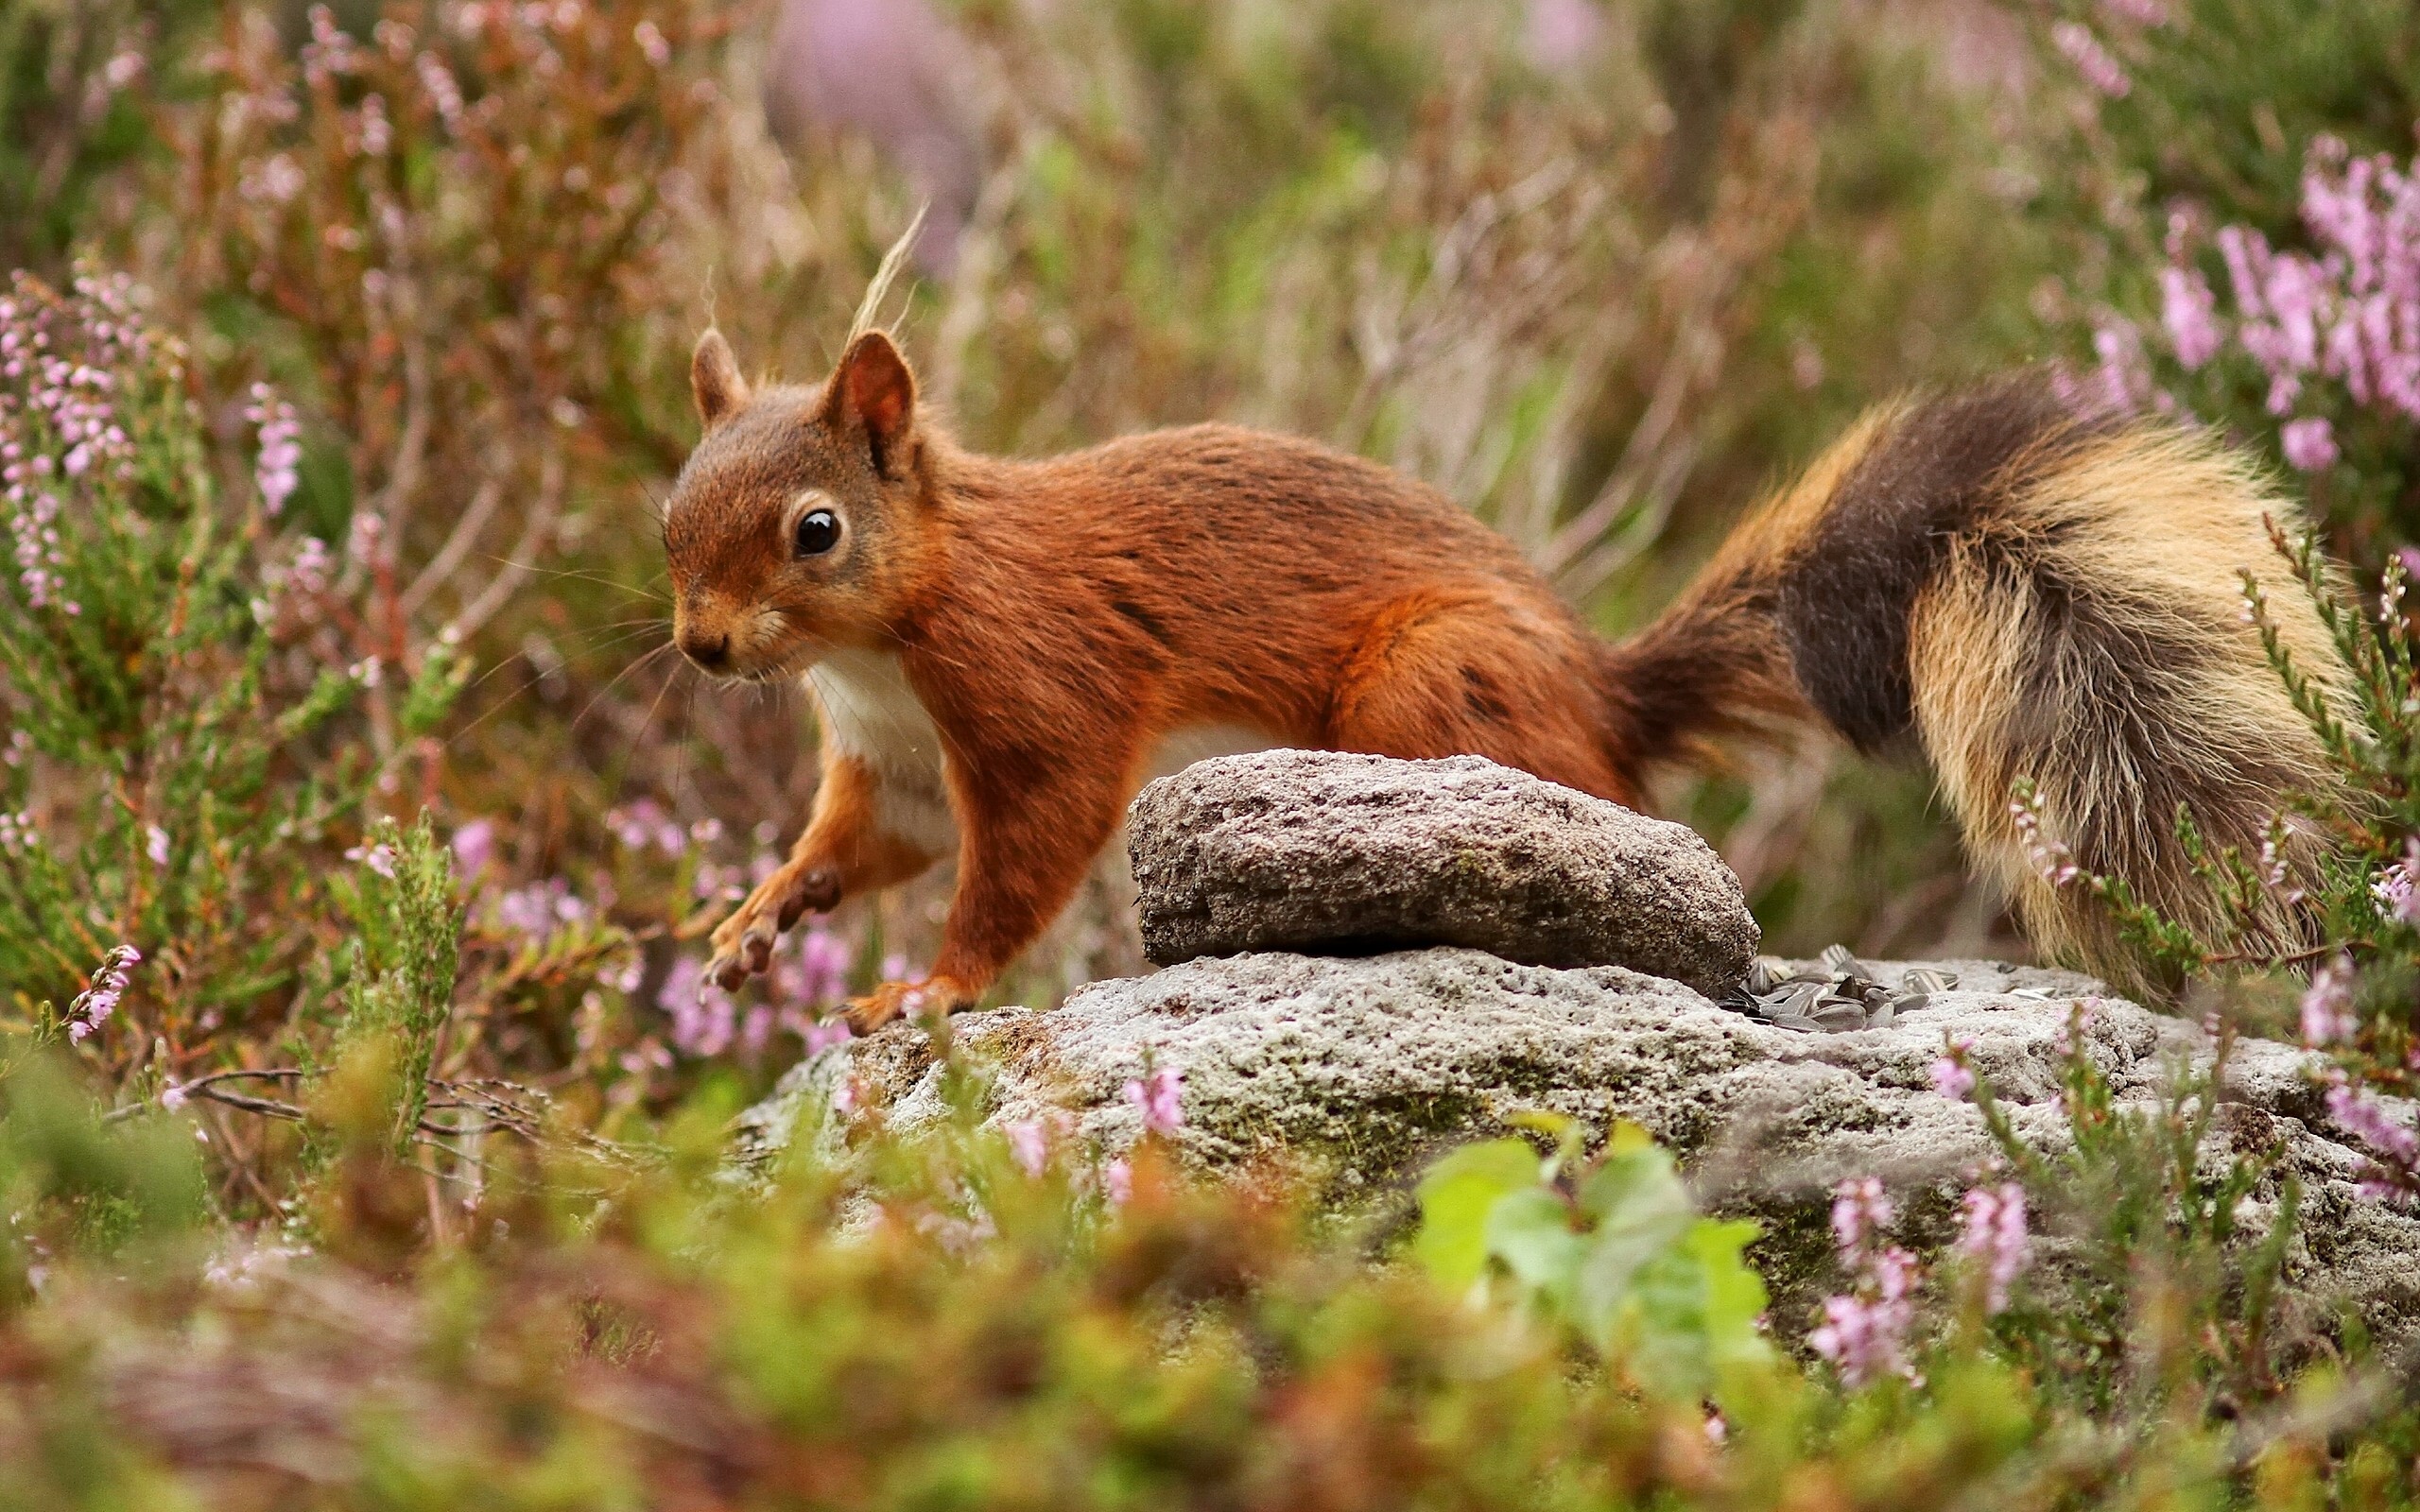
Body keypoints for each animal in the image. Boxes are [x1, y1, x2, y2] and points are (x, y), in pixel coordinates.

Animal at [662, 323, 2349, 1030]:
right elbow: (863, 846)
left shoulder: (1040, 693)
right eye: (671, 512)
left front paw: (927, 988)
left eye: (816, 531)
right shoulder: (888, 761)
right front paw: (754, 924)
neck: (881, 648)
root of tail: (1605, 696)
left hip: (1428, 687)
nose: (700, 647)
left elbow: (1018, 858)